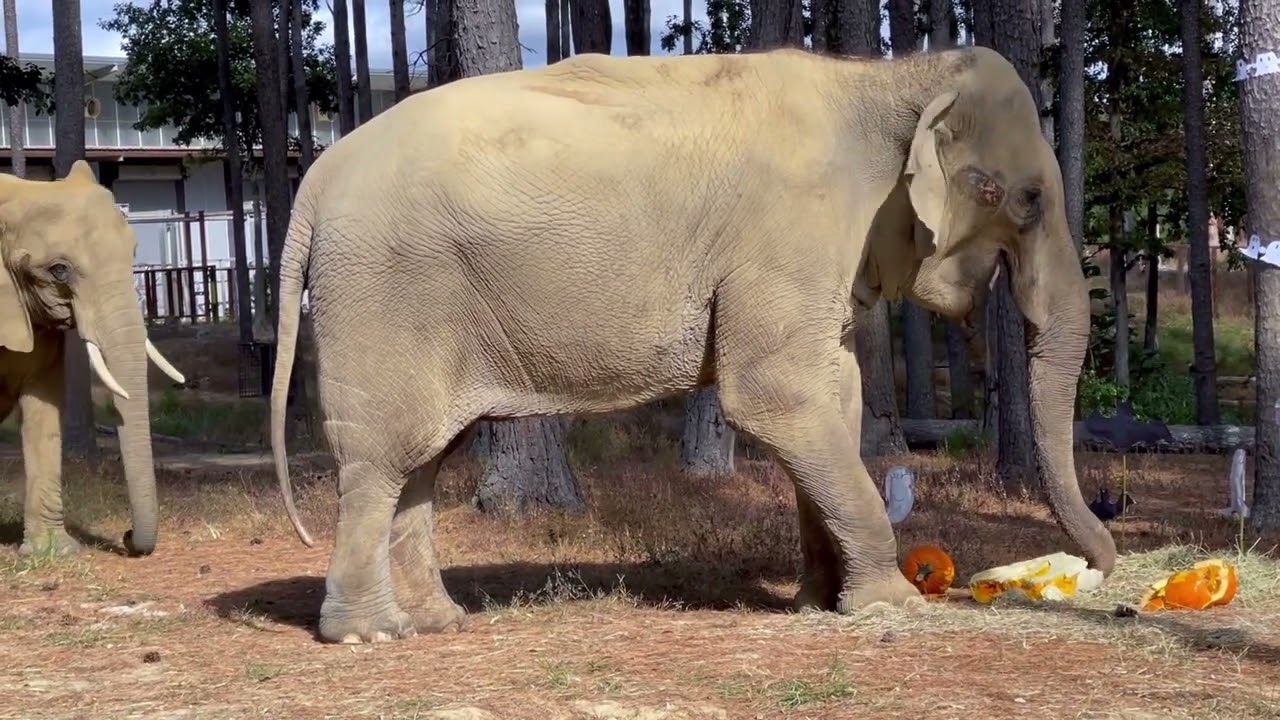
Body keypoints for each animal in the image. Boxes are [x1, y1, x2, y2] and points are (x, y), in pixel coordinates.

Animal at [270, 45, 1117, 644]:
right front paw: (891, 605)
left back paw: (438, 623)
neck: (887, 78)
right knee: (380, 459)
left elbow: (834, 397)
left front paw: (819, 604)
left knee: (421, 460)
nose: (1099, 568)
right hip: (384, 294)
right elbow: (773, 395)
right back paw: (370, 635)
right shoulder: (786, 233)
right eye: (1027, 198)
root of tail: (316, 179)